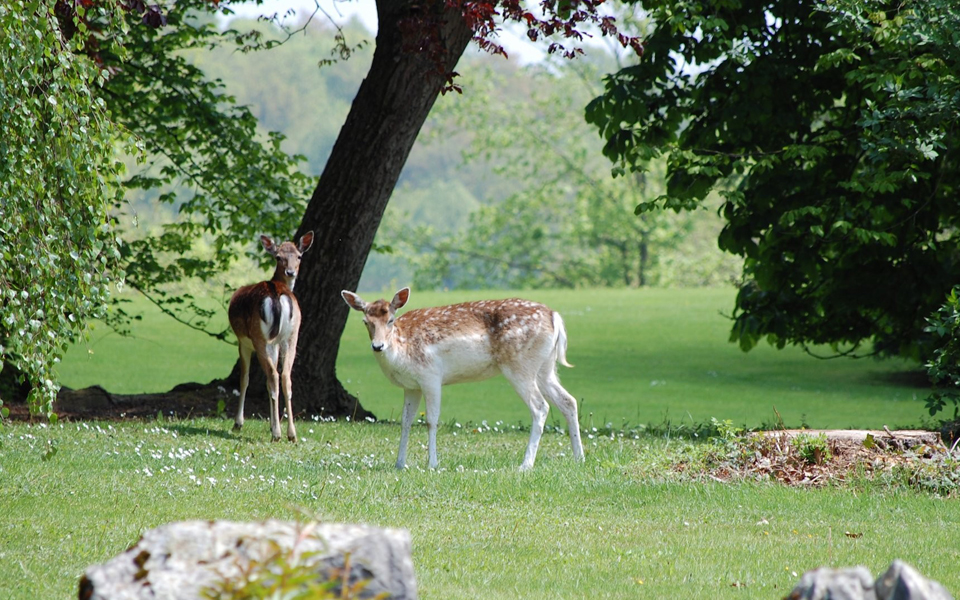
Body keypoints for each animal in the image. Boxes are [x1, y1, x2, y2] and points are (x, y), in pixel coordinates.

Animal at [227, 230, 314, 440]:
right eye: (279, 257)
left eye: (299, 256)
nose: (291, 272)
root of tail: (276, 294)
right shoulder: (277, 343)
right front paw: (273, 423)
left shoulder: (243, 341)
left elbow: (244, 379)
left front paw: (238, 423)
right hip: (291, 336)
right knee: (285, 376)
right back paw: (291, 434)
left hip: (260, 338)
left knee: (273, 376)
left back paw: (277, 434)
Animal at [344, 288, 584, 472]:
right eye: (365, 322)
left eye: (391, 320)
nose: (378, 346)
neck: (402, 350)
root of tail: (554, 316)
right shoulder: (411, 386)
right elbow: (406, 421)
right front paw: (399, 464)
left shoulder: (431, 376)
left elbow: (431, 420)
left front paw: (432, 464)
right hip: (545, 367)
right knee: (568, 401)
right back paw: (579, 458)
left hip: (520, 365)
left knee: (540, 406)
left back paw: (525, 465)